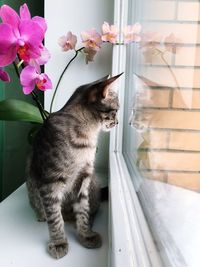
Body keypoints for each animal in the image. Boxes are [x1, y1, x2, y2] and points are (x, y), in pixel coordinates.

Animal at [25, 73, 121, 260]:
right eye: (115, 111)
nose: (118, 122)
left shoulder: (84, 177)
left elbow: (83, 210)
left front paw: (85, 234)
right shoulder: (50, 182)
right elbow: (55, 217)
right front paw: (59, 242)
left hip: (92, 182)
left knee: (91, 210)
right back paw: (41, 215)